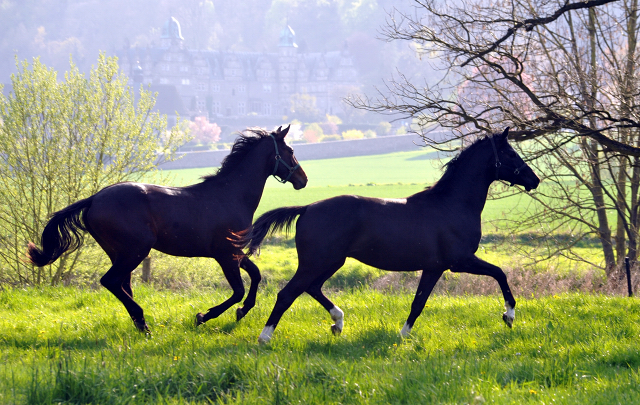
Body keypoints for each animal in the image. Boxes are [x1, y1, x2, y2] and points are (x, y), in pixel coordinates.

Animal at [28, 125, 308, 332]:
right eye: (290, 149)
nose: (303, 179)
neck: (231, 195)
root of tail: (94, 199)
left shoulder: (235, 253)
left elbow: (256, 275)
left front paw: (241, 312)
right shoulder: (225, 255)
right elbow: (238, 290)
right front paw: (203, 316)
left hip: (120, 253)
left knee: (122, 284)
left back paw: (140, 323)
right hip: (135, 250)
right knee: (110, 281)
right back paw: (144, 323)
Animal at [240, 128, 540, 342]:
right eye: (511, 153)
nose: (535, 180)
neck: (451, 204)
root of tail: (307, 208)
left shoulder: (434, 268)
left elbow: (418, 303)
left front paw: (403, 334)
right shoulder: (460, 262)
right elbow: (500, 273)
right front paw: (509, 315)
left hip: (331, 262)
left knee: (311, 287)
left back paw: (338, 322)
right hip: (316, 262)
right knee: (287, 293)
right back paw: (264, 337)